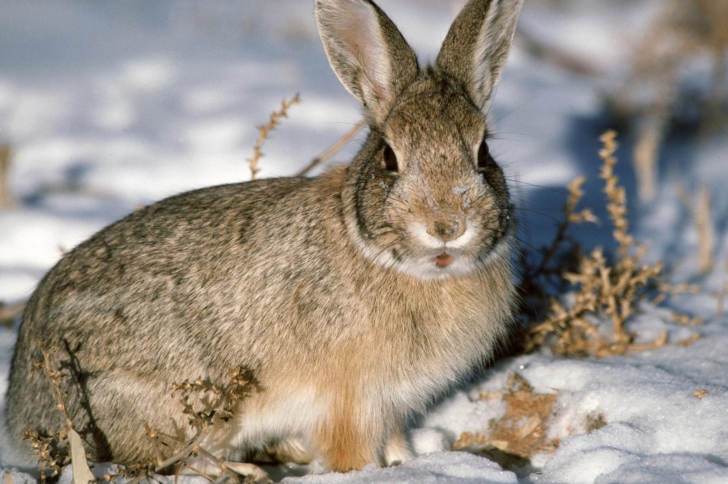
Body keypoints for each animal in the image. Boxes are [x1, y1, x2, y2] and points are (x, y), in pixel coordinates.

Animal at [1, 0, 524, 478]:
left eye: (483, 152)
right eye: (389, 159)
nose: (447, 226)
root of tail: (21, 410)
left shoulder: (390, 403)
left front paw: (408, 461)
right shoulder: (349, 401)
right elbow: (349, 452)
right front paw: (367, 471)